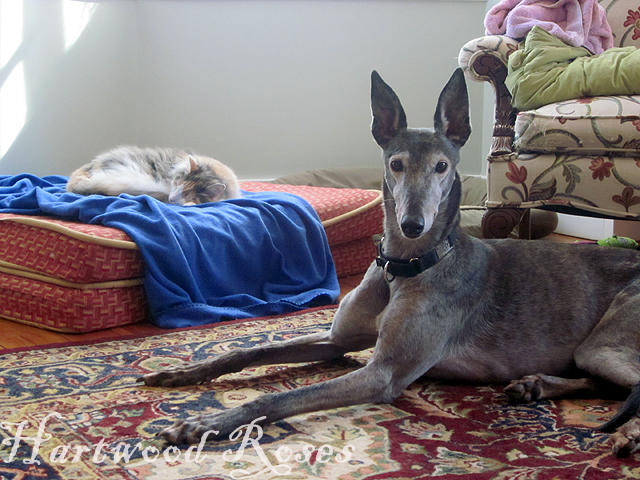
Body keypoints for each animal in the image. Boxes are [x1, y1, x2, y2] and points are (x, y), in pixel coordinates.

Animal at [139, 68, 640, 457]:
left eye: (442, 166)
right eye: (396, 163)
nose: (412, 224)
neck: (403, 268)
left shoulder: (384, 373)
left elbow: (280, 398)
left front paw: (205, 424)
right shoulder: (339, 341)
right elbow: (252, 351)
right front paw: (185, 372)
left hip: (604, 344)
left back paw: (627, 434)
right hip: (591, 354)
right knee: (610, 384)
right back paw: (536, 386)